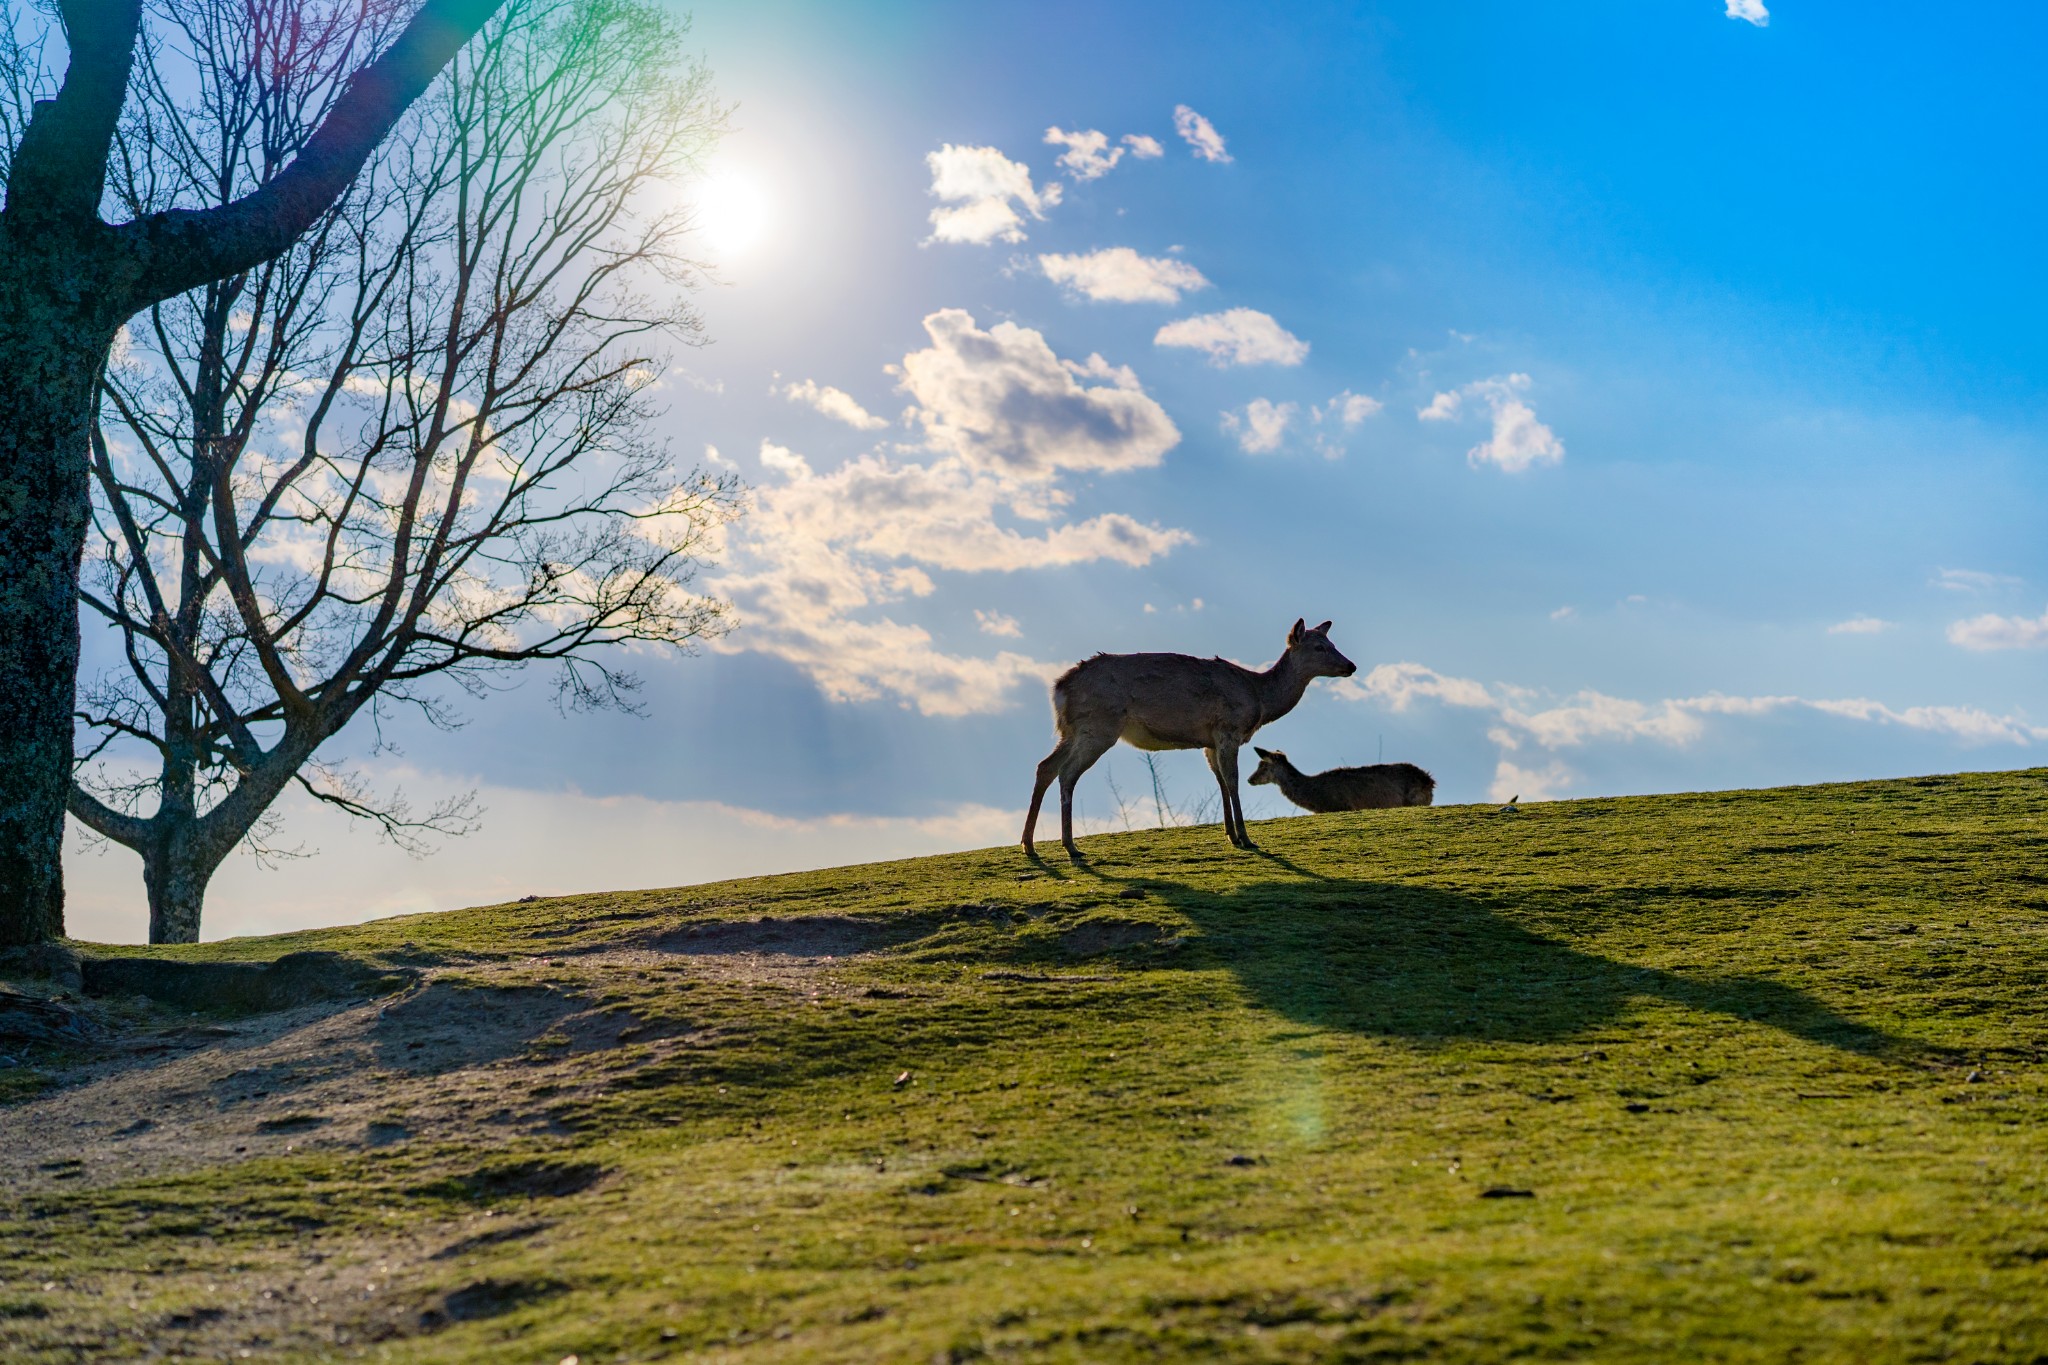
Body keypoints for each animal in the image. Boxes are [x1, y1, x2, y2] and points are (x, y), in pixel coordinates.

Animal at [1024, 622, 1359, 859]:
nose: (1351, 666)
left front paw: (1231, 835)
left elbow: (1220, 782)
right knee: (1067, 773)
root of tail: (1059, 688)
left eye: (1332, 643)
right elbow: (1233, 781)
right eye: (1319, 647)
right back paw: (1070, 846)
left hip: (1071, 730)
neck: (1260, 699)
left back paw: (1029, 844)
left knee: (1045, 766)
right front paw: (1246, 838)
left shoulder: (1210, 741)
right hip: (1099, 725)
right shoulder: (1228, 728)